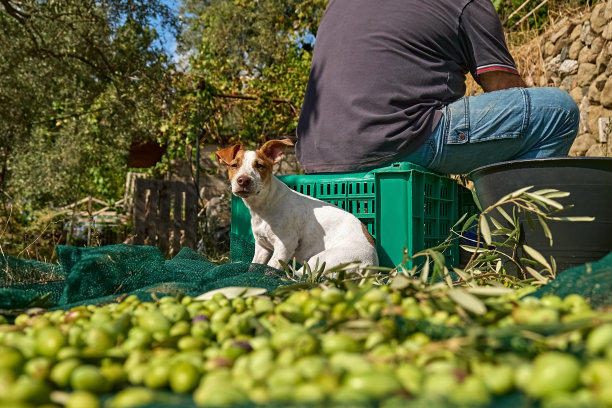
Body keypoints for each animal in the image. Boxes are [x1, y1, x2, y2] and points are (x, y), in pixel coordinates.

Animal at [215, 138, 378, 274]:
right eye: (234, 165)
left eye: (260, 166)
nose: (243, 180)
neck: (263, 206)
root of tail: (371, 266)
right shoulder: (262, 247)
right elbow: (254, 266)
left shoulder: (284, 246)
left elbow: (270, 268)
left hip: (320, 260)